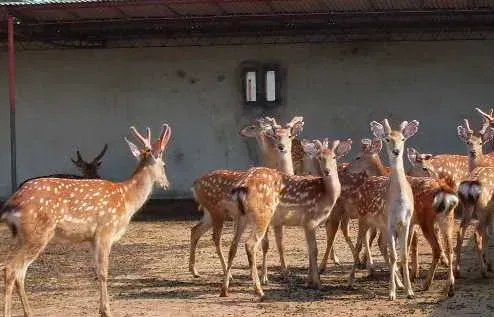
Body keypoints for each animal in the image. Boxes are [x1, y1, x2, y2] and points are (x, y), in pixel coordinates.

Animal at [0, 123, 171, 316]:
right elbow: (104, 272)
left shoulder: (92, 238)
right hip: (36, 233)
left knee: (19, 272)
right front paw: (107, 311)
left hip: (22, 237)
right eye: (164, 164)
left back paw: (29, 312)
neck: (126, 198)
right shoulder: (106, 230)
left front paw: (101, 309)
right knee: (10, 269)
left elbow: (96, 271)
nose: (167, 184)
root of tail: (10, 204)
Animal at [220, 138, 352, 296]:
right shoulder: (310, 220)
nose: (327, 171)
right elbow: (314, 250)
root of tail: (242, 187)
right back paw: (259, 289)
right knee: (250, 244)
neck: (326, 195)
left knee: (233, 246)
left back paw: (224, 290)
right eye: (320, 157)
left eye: (334, 157)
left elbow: (309, 250)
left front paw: (309, 282)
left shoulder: (306, 224)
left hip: (240, 216)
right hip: (262, 214)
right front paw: (317, 283)